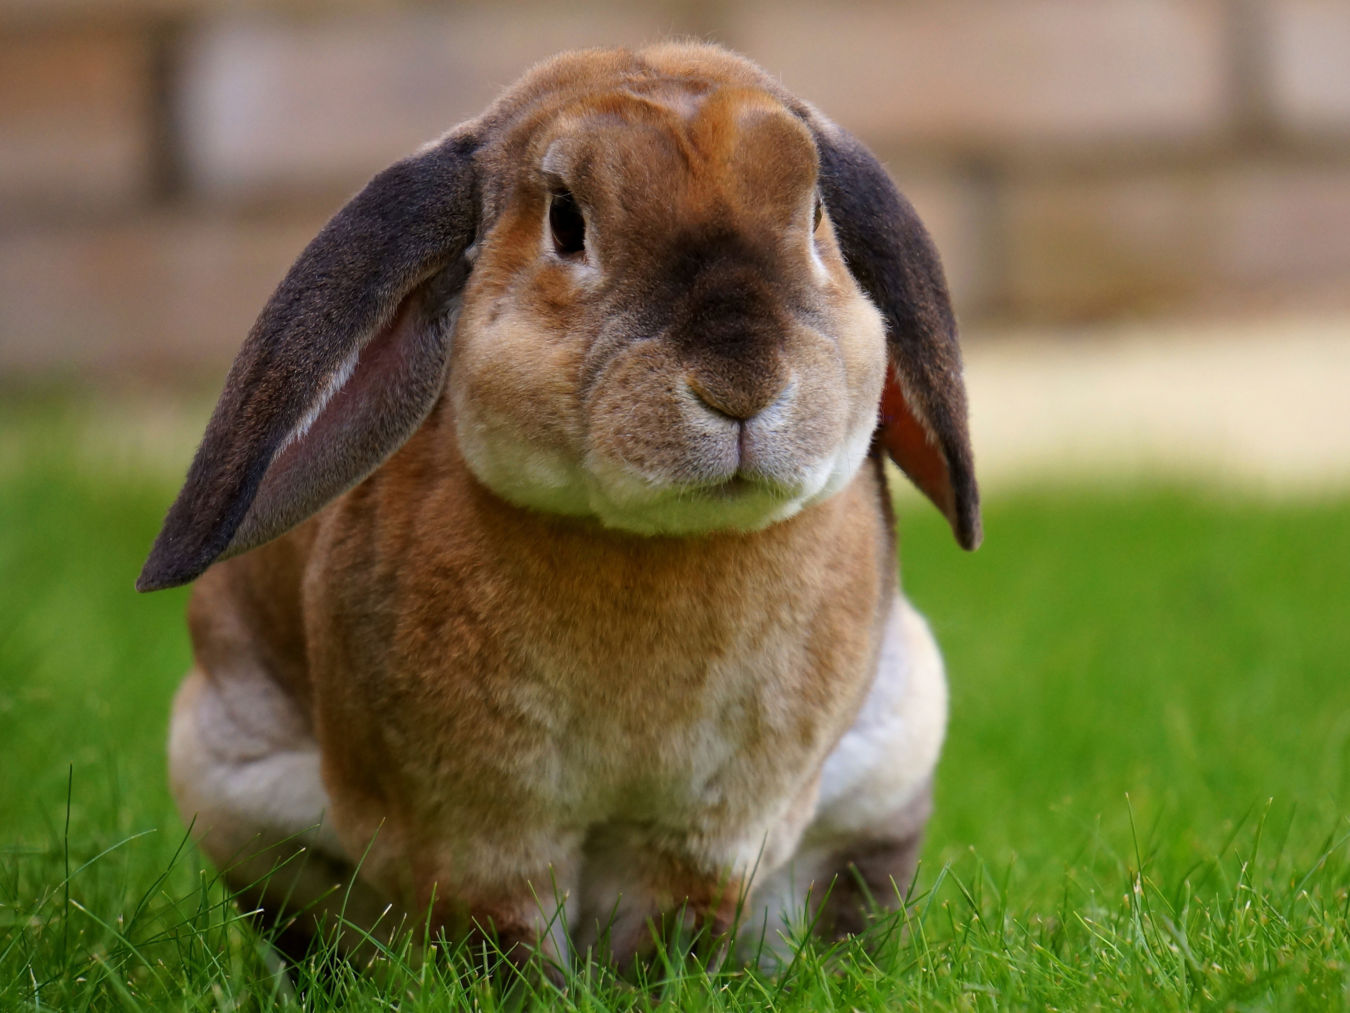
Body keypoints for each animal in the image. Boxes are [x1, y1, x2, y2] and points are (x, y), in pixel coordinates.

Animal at [139, 41, 980, 970]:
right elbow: (503, 936)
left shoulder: (706, 833)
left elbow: (668, 928)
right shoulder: (478, 833)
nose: (741, 382)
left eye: (816, 214)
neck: (655, 544)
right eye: (567, 223)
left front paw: (655, 983)